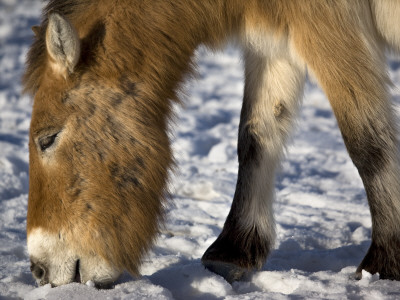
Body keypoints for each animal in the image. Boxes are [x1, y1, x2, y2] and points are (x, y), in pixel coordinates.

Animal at [23, 0, 400, 286]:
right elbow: (255, 137)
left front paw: (385, 260)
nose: (38, 270)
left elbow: (368, 143)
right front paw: (236, 248)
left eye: (47, 139)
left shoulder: (330, 25)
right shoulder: (274, 42)